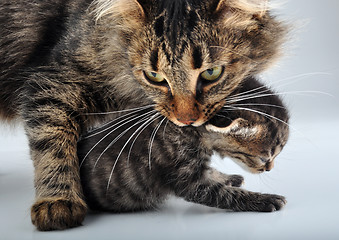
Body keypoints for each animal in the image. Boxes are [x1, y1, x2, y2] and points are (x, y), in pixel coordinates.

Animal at [77, 76, 290, 212]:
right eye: (264, 158)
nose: (269, 169)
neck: (190, 130)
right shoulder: (186, 178)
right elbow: (227, 195)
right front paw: (264, 199)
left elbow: (211, 173)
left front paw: (227, 177)